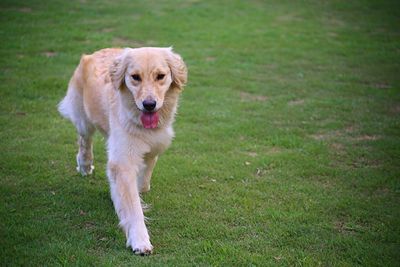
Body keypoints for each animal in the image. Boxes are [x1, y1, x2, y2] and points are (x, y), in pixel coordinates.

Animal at [57, 47, 188, 255]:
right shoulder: (123, 160)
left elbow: (142, 184)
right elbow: (133, 206)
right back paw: (84, 165)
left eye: (160, 76)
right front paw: (140, 240)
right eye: (135, 77)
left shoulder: (154, 146)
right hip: (84, 118)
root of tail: (95, 52)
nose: (149, 104)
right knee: (85, 140)